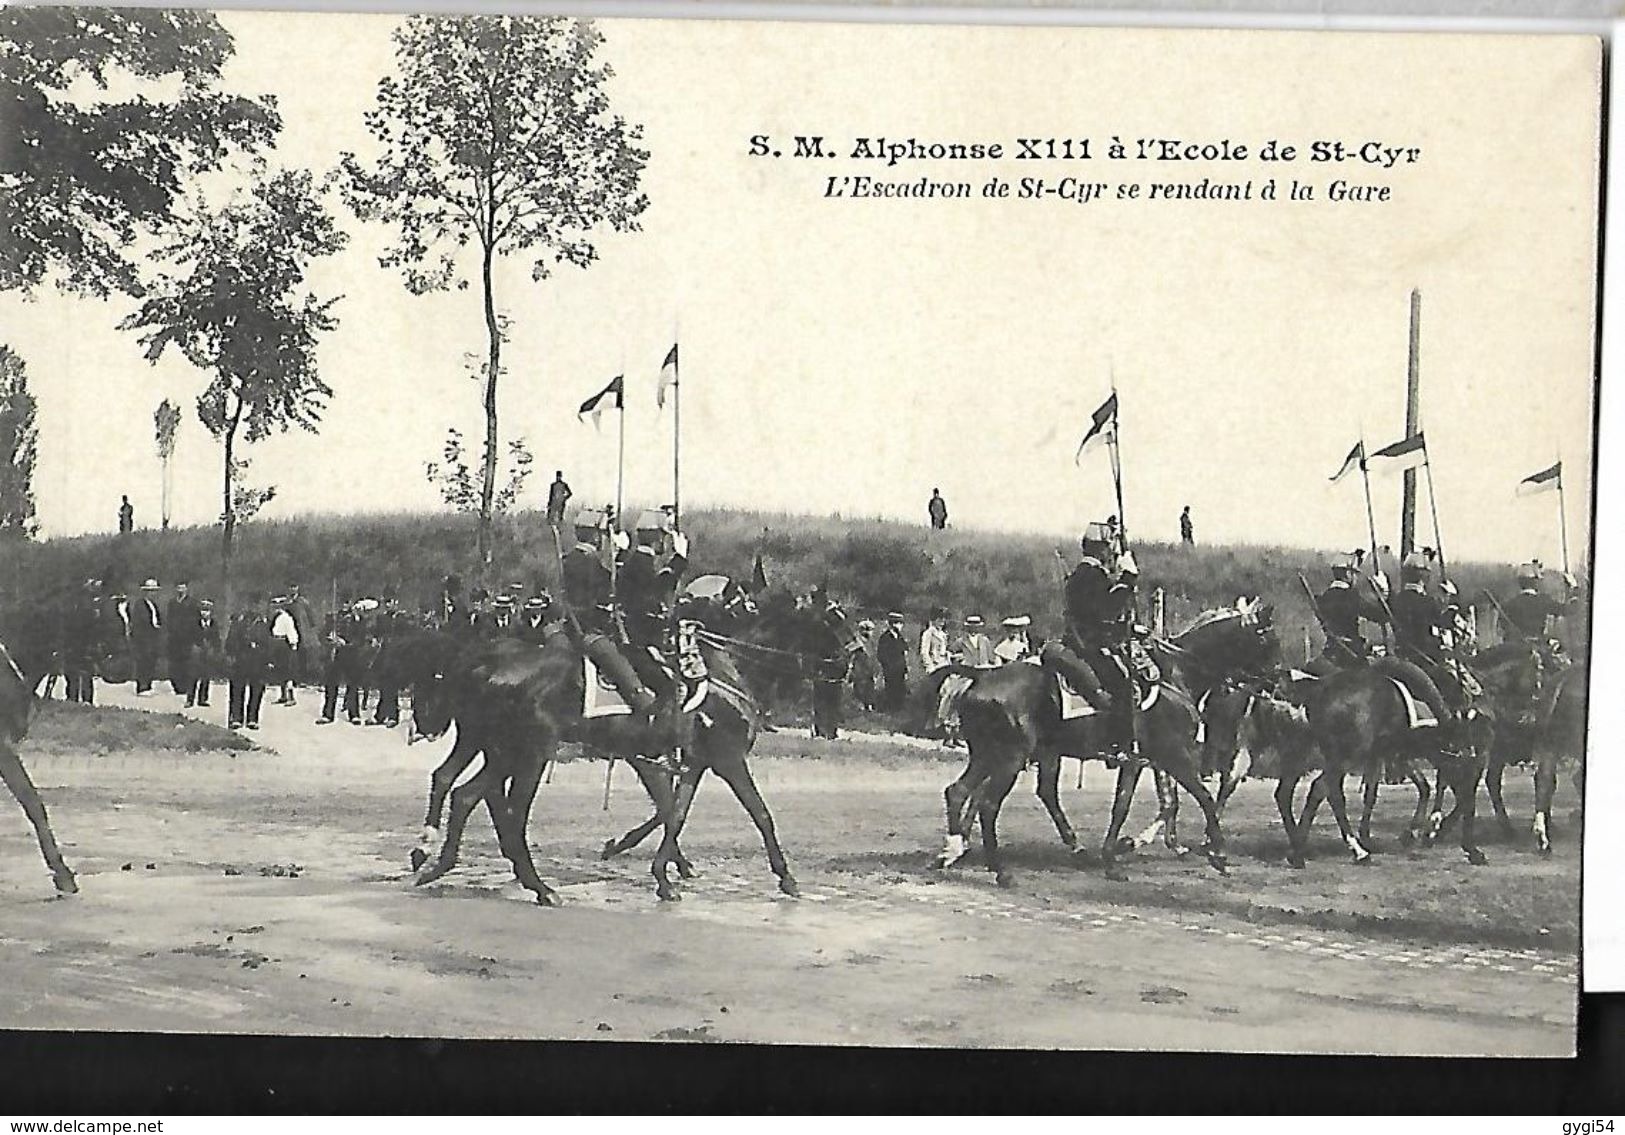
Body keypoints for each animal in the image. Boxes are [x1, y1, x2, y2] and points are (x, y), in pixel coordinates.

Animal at [936, 601, 1274, 884]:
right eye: (1268, 640)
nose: (1276, 683)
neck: (1173, 676)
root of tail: (981, 677)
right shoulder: (1173, 756)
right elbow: (1199, 797)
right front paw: (1216, 853)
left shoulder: (1145, 761)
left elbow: (1143, 804)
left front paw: (1117, 854)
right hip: (1011, 757)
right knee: (988, 803)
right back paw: (999, 870)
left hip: (998, 755)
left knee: (963, 792)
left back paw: (954, 851)